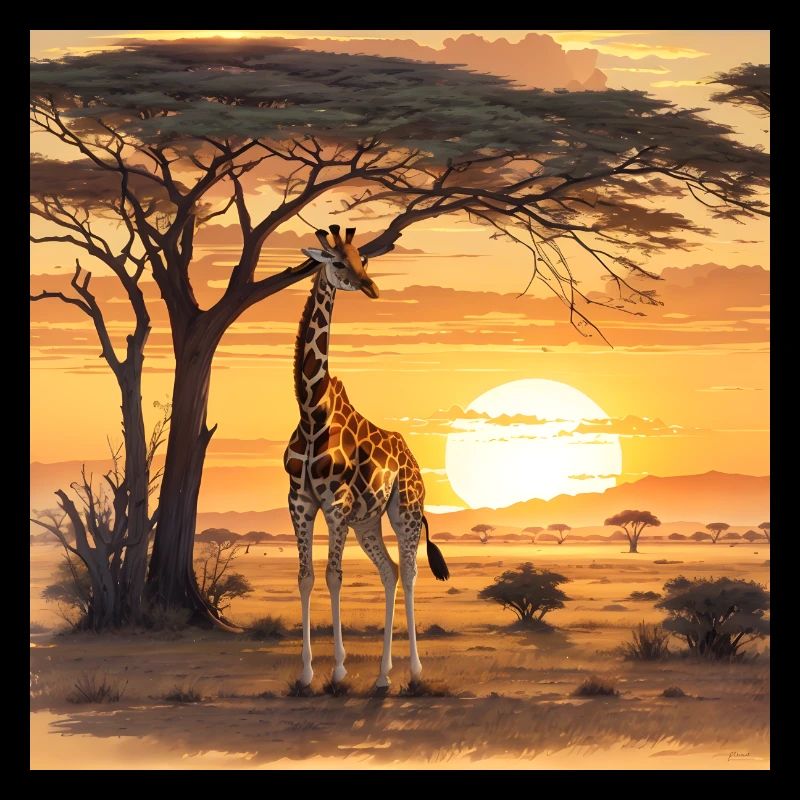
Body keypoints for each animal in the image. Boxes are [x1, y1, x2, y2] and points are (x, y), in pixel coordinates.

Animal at [283, 224, 449, 689]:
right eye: (339, 262)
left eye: (364, 260)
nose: (371, 287)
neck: (311, 411)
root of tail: (413, 461)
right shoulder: (300, 502)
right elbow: (306, 577)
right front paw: (305, 674)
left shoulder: (336, 504)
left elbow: (333, 575)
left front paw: (338, 670)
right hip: (367, 522)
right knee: (389, 571)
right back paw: (382, 675)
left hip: (405, 510)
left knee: (408, 573)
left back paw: (414, 671)